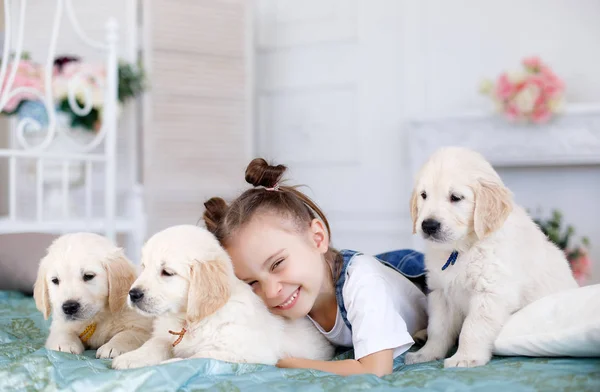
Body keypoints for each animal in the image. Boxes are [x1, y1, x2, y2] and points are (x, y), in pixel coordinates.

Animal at [110, 225, 336, 370]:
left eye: (167, 272)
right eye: (144, 267)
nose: (133, 294)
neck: (190, 320)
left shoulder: (242, 353)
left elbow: (195, 358)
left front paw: (163, 364)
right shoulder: (166, 337)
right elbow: (155, 343)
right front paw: (132, 357)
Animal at [406, 146, 580, 368]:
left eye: (456, 197)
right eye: (424, 195)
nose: (428, 225)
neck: (462, 249)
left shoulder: (491, 292)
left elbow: (472, 328)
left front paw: (465, 357)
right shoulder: (440, 293)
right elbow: (438, 328)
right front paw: (426, 354)